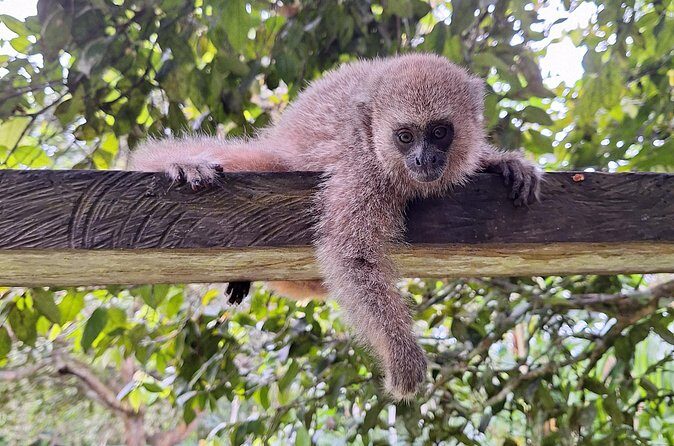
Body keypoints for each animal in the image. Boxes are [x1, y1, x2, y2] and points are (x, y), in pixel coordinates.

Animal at [130, 53, 542, 400]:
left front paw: (505, 162)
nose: (424, 158)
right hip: (274, 160)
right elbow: (352, 255)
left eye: (440, 132)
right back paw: (185, 165)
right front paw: (400, 353)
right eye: (405, 136)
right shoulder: (364, 170)